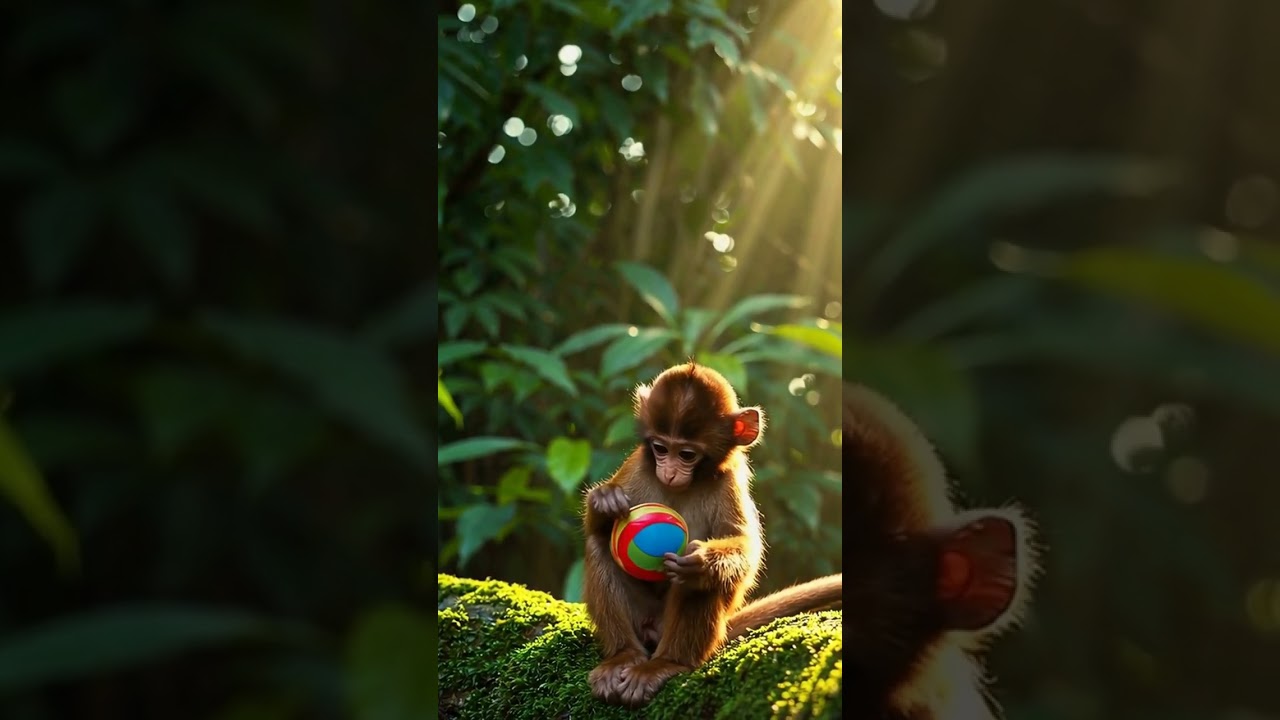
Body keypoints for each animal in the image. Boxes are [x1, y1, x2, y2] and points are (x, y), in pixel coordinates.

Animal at [580, 362, 842, 707]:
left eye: (687, 455)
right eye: (660, 448)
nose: (669, 472)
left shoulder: (729, 481)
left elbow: (745, 550)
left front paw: (704, 560)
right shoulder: (637, 464)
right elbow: (596, 528)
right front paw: (605, 501)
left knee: (700, 583)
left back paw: (666, 663)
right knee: (599, 545)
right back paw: (623, 656)